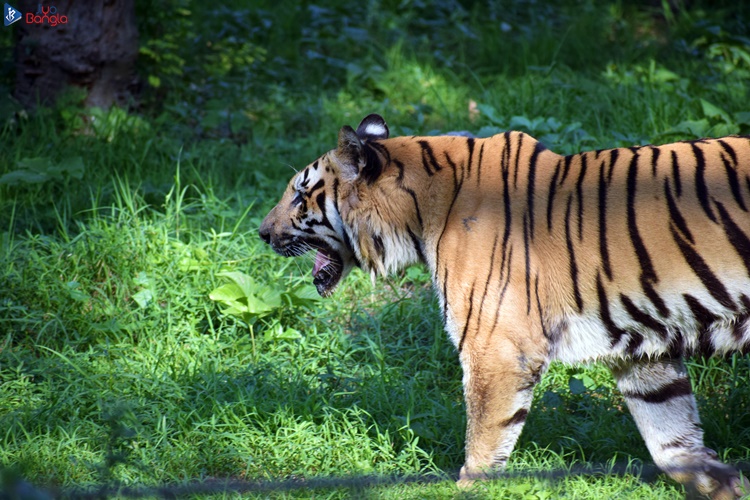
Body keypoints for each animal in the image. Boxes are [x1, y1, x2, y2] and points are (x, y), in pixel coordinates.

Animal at [262, 114, 750, 500]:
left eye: (300, 196)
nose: (262, 233)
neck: (420, 215)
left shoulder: (495, 347)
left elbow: (484, 438)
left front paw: (466, 491)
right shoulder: (644, 345)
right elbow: (669, 430)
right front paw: (719, 481)